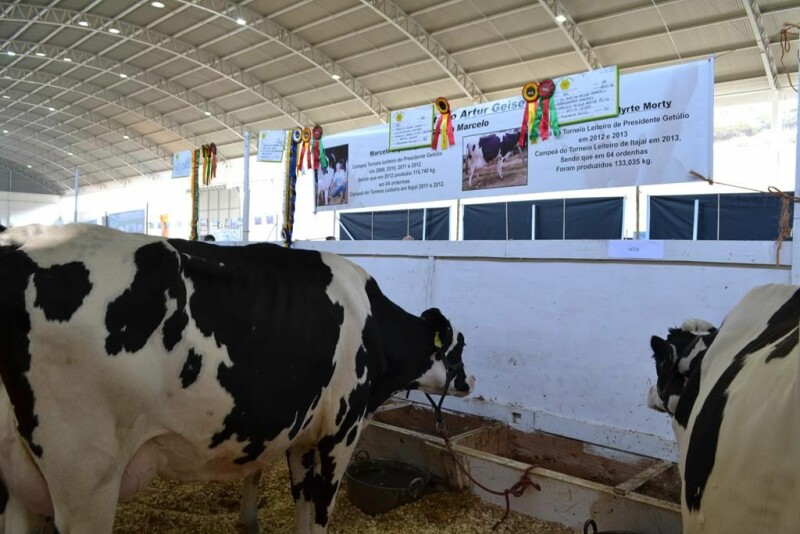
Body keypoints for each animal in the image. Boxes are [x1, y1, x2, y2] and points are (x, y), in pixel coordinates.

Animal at [0, 225, 476, 534]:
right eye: (459, 347)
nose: (470, 381)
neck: (371, 320)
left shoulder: (302, 436)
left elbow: (302, 506)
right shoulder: (341, 431)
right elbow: (320, 512)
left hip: (20, 483)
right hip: (86, 478)